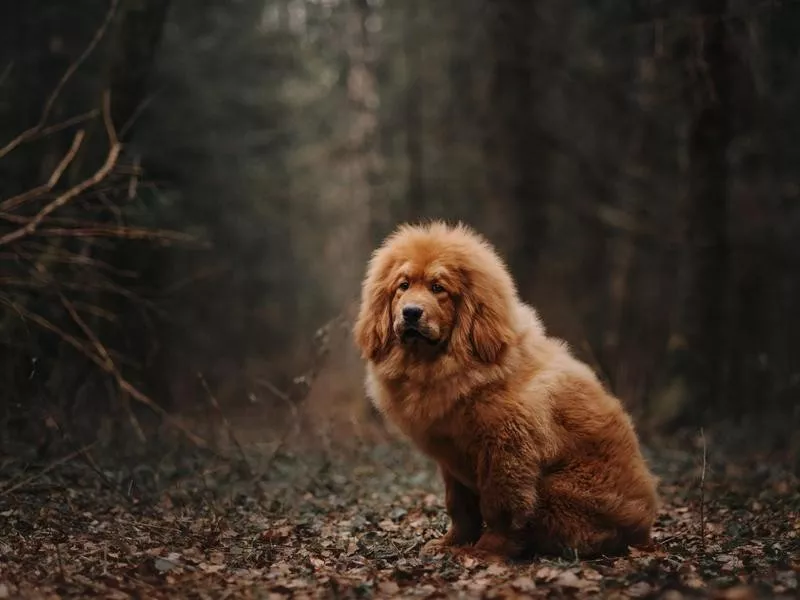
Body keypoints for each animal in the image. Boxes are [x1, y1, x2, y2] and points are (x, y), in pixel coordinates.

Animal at [354, 221, 660, 564]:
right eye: (403, 286)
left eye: (438, 288)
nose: (410, 312)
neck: (456, 364)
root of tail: (642, 530)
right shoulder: (452, 456)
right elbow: (459, 506)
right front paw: (452, 543)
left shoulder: (506, 452)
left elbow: (500, 508)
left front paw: (485, 551)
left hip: (558, 489)